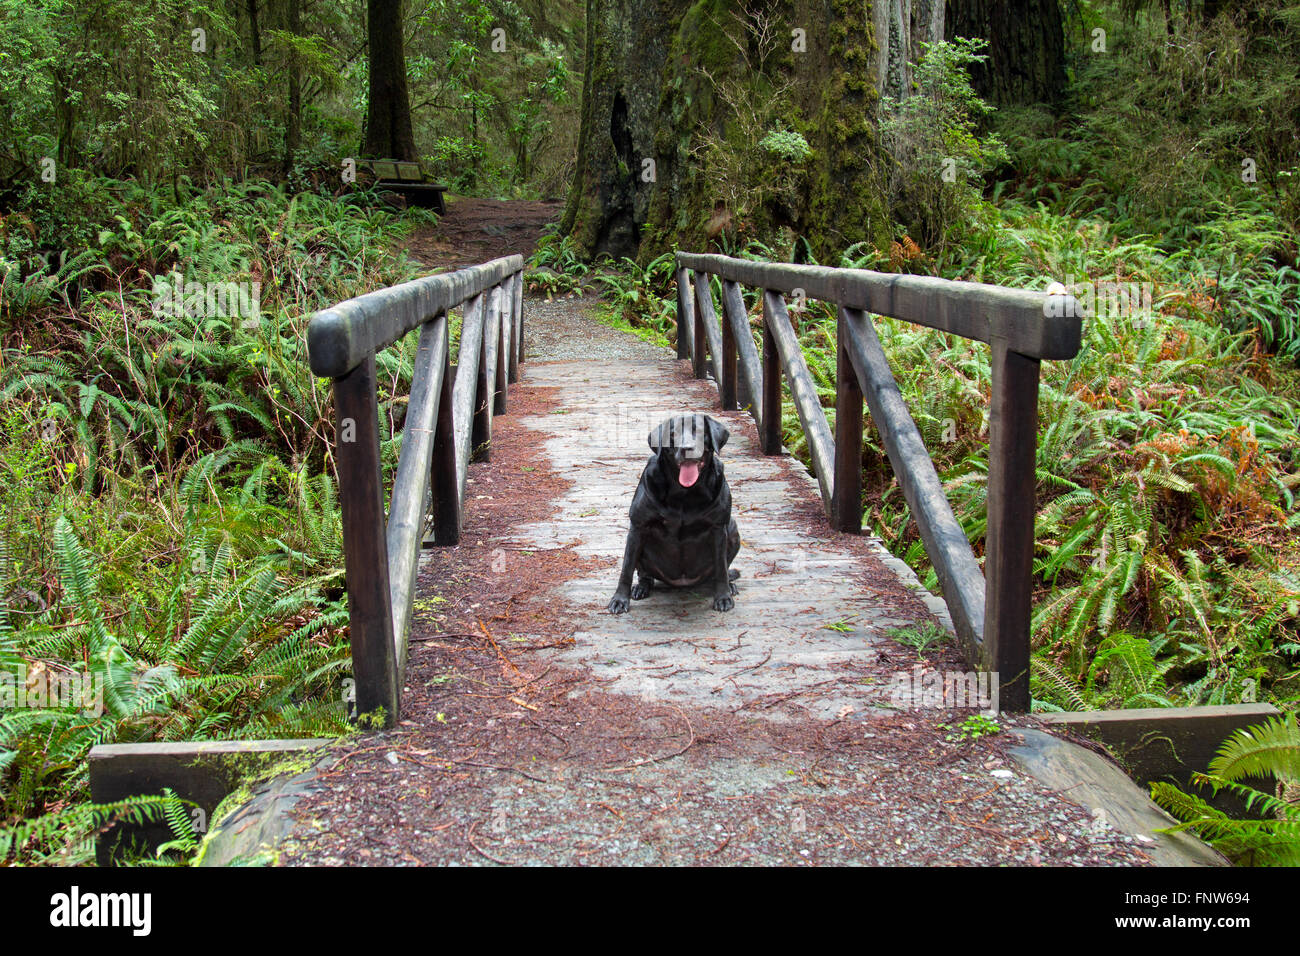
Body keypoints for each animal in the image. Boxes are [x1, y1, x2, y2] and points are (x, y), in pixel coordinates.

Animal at [608, 411, 743, 613]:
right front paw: (619, 599)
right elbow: (626, 569)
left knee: (722, 569)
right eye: (673, 434)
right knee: (643, 573)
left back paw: (730, 586)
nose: (687, 448)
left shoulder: (719, 528)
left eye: (699, 431)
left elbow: (721, 568)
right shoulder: (638, 527)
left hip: (732, 529)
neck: (684, 493)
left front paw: (723, 596)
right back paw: (641, 587)